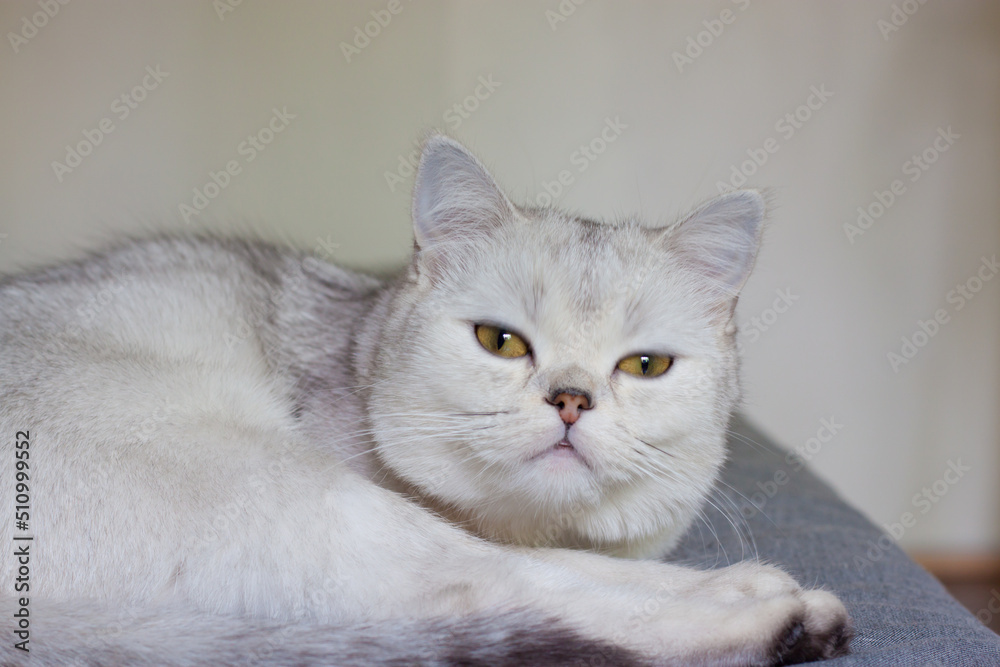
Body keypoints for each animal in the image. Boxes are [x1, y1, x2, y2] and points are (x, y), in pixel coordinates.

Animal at [0, 134, 852, 664]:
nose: (571, 399)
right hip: (266, 475)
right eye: (501, 342)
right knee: (485, 587)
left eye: (645, 364)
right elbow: (530, 568)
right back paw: (781, 617)